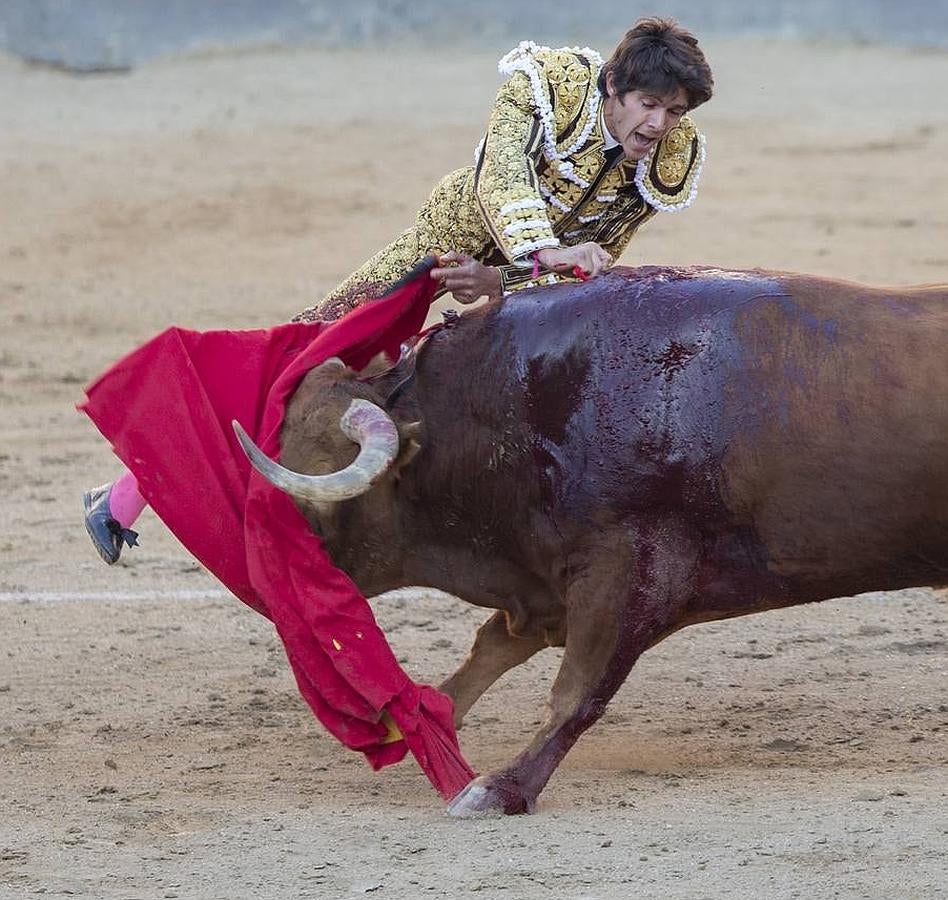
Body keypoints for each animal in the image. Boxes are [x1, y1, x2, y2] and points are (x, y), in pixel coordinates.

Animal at [237, 266, 948, 816]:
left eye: (311, 484)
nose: (261, 580)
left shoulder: (631, 573)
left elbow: (577, 692)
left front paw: (499, 790)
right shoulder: (544, 584)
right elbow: (488, 652)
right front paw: (413, 725)